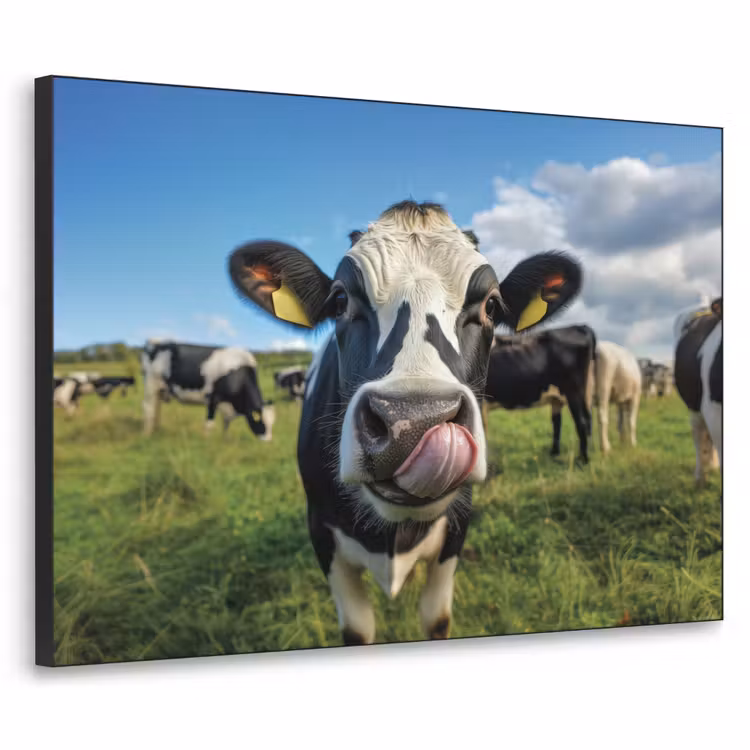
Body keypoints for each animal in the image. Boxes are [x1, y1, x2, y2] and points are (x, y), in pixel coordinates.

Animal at [140, 341, 275, 440]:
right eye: (261, 421)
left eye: (272, 423)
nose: (268, 442)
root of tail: (154, 344)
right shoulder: (213, 399)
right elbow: (209, 424)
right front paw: (207, 442)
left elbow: (226, 424)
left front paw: (224, 440)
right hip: (150, 386)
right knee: (148, 408)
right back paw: (147, 434)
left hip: (160, 390)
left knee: (156, 409)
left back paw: (156, 430)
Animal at [228, 200, 582, 645]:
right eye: (339, 301)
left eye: (491, 306)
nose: (412, 423)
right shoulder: (321, 533)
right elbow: (357, 629)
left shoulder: (457, 529)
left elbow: (436, 618)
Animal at [482, 325, 596, 464]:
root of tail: (580, 326)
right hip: (574, 394)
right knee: (561, 422)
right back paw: (555, 453)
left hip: (574, 391)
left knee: (582, 422)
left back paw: (582, 460)